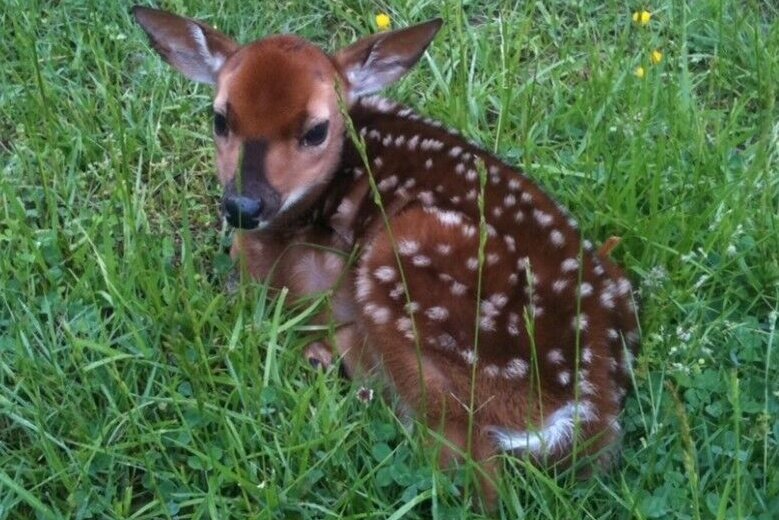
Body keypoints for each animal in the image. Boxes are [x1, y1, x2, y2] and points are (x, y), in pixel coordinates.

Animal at [133, 6, 640, 507]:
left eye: (316, 130)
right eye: (220, 118)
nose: (243, 206)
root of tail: (584, 409)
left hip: (400, 264)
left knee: (471, 470)